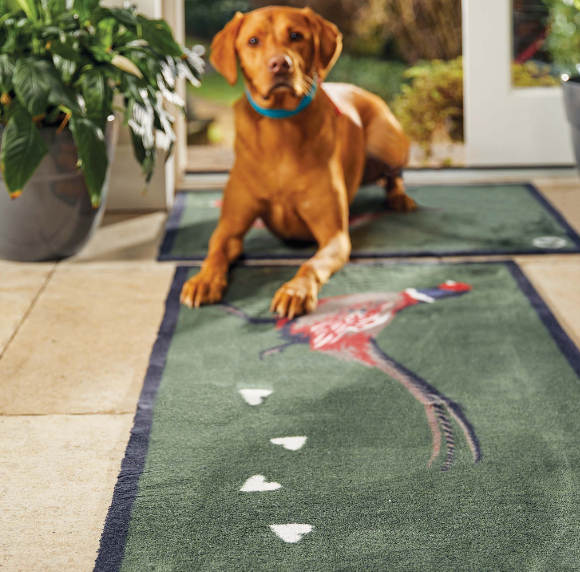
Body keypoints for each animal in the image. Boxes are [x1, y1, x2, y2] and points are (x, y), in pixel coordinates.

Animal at [179, 5, 414, 318]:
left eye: (295, 36)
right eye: (253, 41)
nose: (280, 64)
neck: (279, 130)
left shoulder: (334, 237)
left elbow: (310, 264)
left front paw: (295, 290)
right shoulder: (229, 228)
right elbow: (214, 251)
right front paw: (204, 280)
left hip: (387, 142)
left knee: (394, 173)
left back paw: (400, 197)